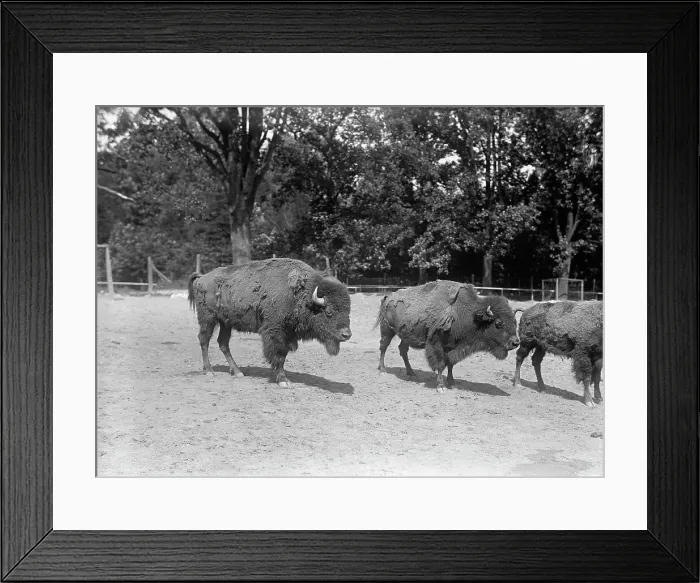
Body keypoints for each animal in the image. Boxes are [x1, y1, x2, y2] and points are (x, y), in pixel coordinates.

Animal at [187, 258, 352, 388]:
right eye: (329, 312)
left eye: (348, 310)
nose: (346, 335)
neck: (299, 295)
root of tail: (201, 278)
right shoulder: (275, 332)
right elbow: (278, 355)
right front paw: (283, 381)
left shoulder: (288, 334)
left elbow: (283, 355)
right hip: (208, 319)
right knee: (204, 340)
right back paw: (209, 371)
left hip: (225, 323)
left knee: (223, 343)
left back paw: (237, 372)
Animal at [373, 281, 520, 393]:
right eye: (498, 323)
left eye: (515, 322)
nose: (515, 343)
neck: (466, 314)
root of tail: (387, 297)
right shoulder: (436, 344)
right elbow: (440, 364)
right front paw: (441, 386)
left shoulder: (453, 346)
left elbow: (450, 363)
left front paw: (452, 383)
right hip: (387, 330)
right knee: (383, 346)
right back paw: (382, 370)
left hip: (406, 335)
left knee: (403, 350)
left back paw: (412, 373)